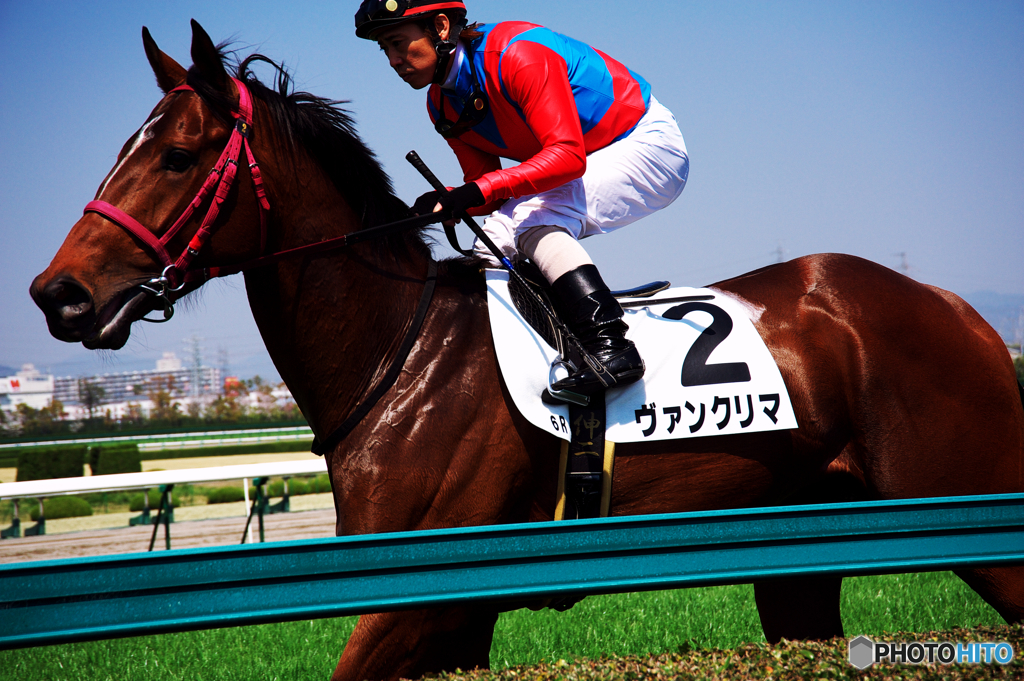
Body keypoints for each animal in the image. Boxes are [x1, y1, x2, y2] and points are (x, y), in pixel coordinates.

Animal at [30, 21, 1024, 681]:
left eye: (177, 156)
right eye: (125, 148)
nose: (57, 292)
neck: (400, 355)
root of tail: (956, 307)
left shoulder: (414, 599)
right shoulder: (455, 611)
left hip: (963, 501)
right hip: (800, 551)